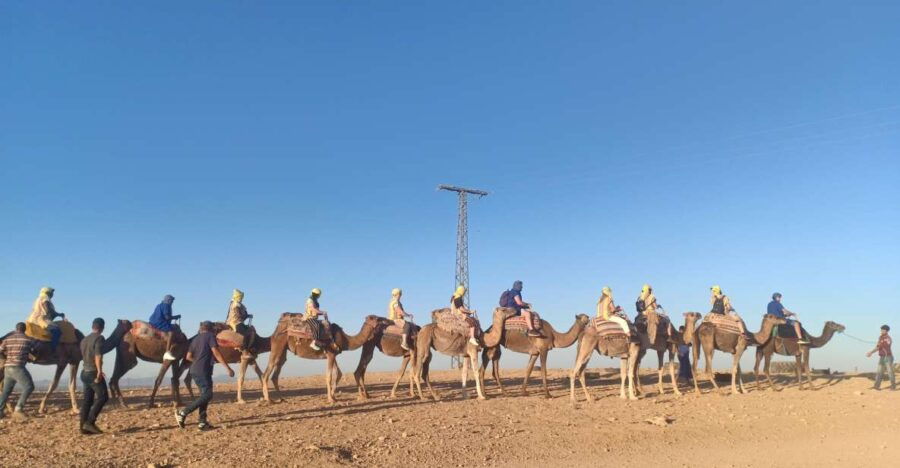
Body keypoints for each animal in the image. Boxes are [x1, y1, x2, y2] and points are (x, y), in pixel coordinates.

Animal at [0, 319, 131, 414]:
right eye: (127, 323)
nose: (132, 325)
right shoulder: (66, 361)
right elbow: (57, 384)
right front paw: (43, 408)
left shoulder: (70, 361)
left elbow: (68, 384)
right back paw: (9, 407)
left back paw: (9, 407)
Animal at [260, 315, 390, 404]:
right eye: (377, 318)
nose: (388, 320)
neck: (346, 340)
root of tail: (276, 329)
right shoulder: (331, 354)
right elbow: (329, 376)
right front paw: (330, 399)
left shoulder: (332, 354)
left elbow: (339, 373)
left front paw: (333, 396)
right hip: (278, 345)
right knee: (266, 372)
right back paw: (269, 400)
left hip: (283, 350)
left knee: (276, 373)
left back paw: (282, 398)